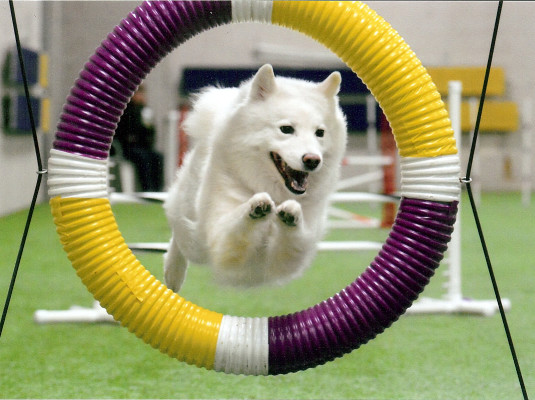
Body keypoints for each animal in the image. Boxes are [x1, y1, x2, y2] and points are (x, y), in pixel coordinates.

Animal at [163, 65, 348, 290]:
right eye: (286, 129)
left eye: (319, 133)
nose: (312, 160)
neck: (274, 192)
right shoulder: (222, 237)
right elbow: (235, 223)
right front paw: (256, 206)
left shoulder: (287, 255)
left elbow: (295, 237)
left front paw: (291, 213)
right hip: (195, 236)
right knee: (180, 236)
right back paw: (173, 273)